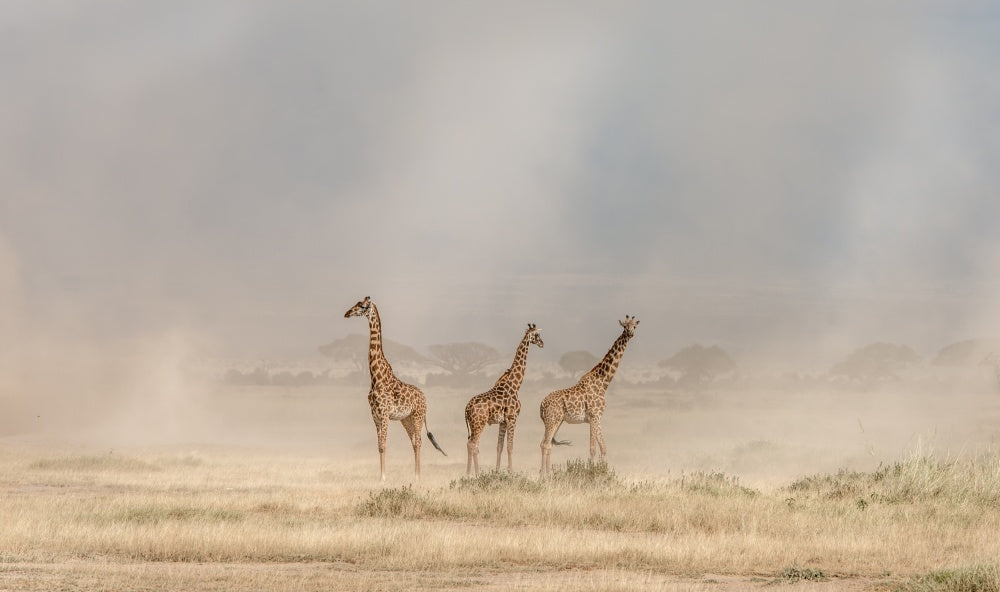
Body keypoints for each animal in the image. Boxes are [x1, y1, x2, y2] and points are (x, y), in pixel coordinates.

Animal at [344, 296, 446, 481]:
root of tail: (425, 398)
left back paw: (417, 477)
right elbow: (379, 445)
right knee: (414, 442)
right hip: (406, 419)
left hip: (418, 416)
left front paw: (383, 478)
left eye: (362, 306)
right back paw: (414, 476)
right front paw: (381, 477)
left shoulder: (384, 414)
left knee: (419, 442)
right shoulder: (375, 415)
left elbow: (383, 444)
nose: (347, 313)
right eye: (355, 304)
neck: (376, 377)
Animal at [464, 323, 544, 476]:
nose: (542, 343)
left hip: (473, 424)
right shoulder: (513, 418)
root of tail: (467, 408)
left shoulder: (503, 421)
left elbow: (499, 446)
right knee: (473, 444)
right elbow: (510, 446)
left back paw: (468, 473)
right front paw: (510, 472)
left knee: (470, 444)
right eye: (537, 335)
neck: (515, 385)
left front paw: (497, 472)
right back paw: (476, 474)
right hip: (479, 423)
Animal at [539, 315, 639, 475]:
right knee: (545, 444)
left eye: (634, 326)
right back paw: (545, 476)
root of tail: (541, 405)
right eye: (624, 326)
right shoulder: (594, 416)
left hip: (556, 421)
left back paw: (548, 474)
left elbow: (603, 448)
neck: (602, 384)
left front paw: (603, 472)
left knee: (546, 444)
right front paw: (592, 473)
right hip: (552, 420)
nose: (630, 333)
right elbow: (593, 449)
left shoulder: (597, 418)